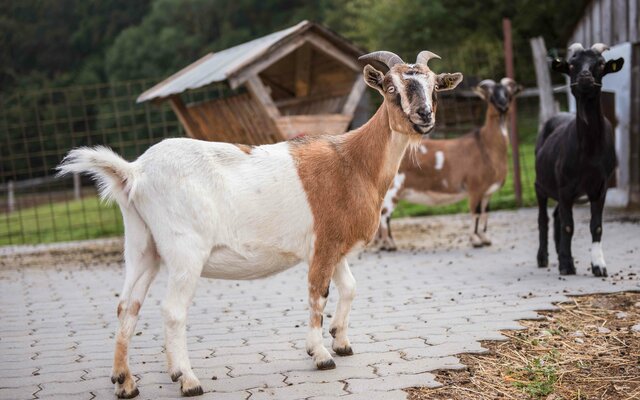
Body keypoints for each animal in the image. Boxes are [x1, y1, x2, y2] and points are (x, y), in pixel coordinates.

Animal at [57, 51, 462, 398]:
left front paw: (341, 340)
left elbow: (349, 288)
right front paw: (320, 354)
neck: (353, 161)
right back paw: (187, 380)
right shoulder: (324, 243)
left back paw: (126, 382)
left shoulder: (334, 246)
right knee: (172, 311)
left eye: (433, 88)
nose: (424, 116)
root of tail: (134, 173)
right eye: (392, 89)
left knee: (128, 305)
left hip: (143, 246)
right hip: (185, 250)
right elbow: (319, 294)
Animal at [376, 78, 520, 250]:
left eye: (509, 94)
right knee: (385, 214)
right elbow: (476, 212)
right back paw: (389, 244)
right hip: (393, 188)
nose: (503, 106)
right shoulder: (475, 187)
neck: (485, 145)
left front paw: (485, 238)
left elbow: (485, 212)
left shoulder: (487, 192)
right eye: (491, 96)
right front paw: (476, 240)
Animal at [536, 43, 624, 276]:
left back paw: (561, 255)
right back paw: (544, 258)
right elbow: (569, 226)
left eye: (601, 64)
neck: (589, 153)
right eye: (572, 65)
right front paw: (567, 265)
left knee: (557, 216)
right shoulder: (565, 187)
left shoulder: (600, 187)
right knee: (544, 219)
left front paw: (598, 266)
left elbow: (596, 226)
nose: (585, 76)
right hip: (541, 185)